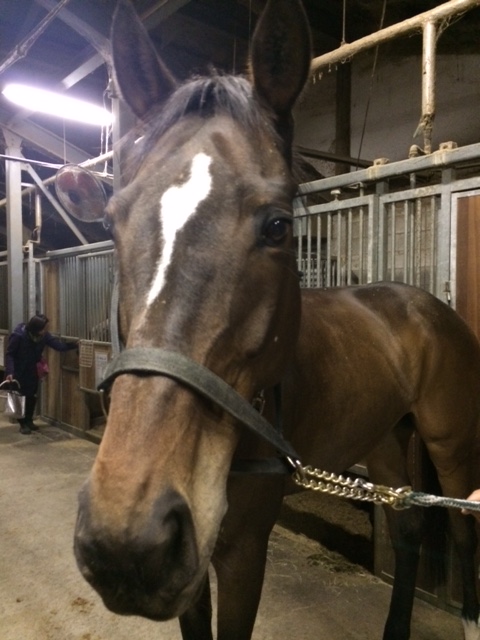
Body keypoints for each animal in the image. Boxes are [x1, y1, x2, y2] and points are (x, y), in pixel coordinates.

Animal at [73, 1, 480, 639]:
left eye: (277, 227)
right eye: (112, 221)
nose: (124, 541)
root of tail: (427, 304)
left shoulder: (245, 553)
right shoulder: (192, 570)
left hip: (451, 440)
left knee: (463, 528)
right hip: (387, 436)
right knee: (408, 525)